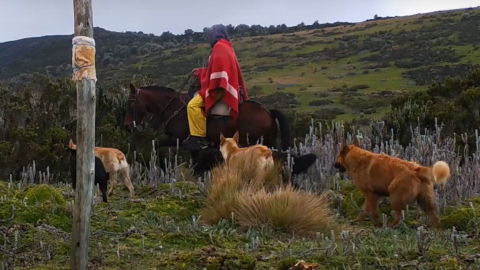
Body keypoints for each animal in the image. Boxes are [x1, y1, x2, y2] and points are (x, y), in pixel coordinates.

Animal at [124, 83, 290, 153]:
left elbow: (157, 145)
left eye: (130, 103)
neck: (173, 106)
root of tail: (268, 112)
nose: (128, 126)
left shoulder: (176, 139)